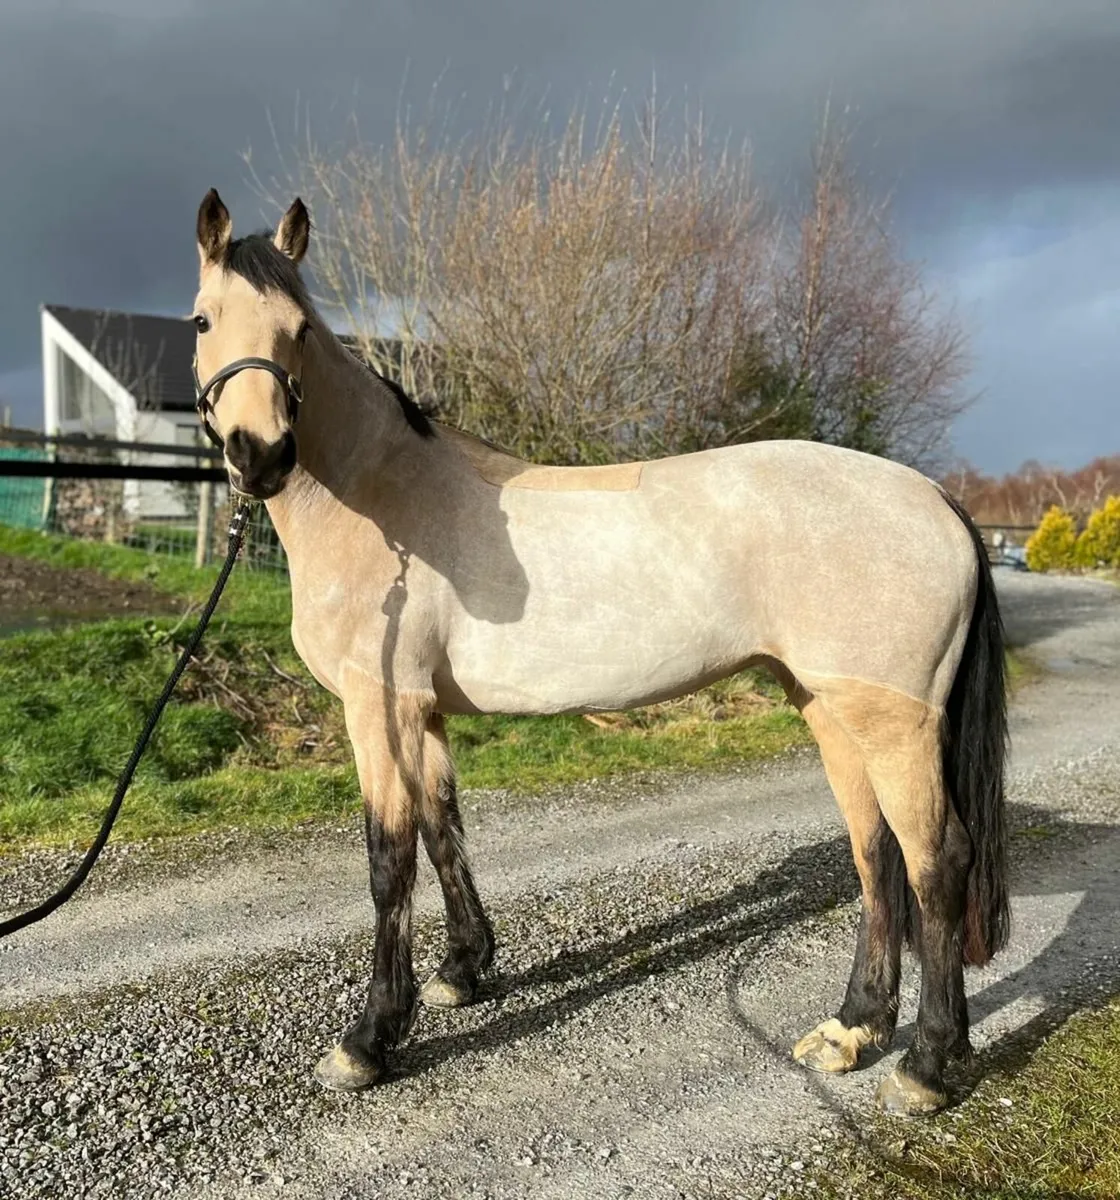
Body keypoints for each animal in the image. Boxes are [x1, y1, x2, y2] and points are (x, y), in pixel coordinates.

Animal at [190, 188, 1009, 1117]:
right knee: (877, 855)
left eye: (298, 328)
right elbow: (443, 828)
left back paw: (926, 1065)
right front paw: (463, 972)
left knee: (936, 863)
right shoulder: (421, 710)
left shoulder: (380, 705)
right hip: (829, 709)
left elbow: (388, 861)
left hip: (892, 724)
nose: (258, 456)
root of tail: (935, 497)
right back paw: (853, 1032)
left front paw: (369, 1041)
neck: (380, 496)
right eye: (205, 319)